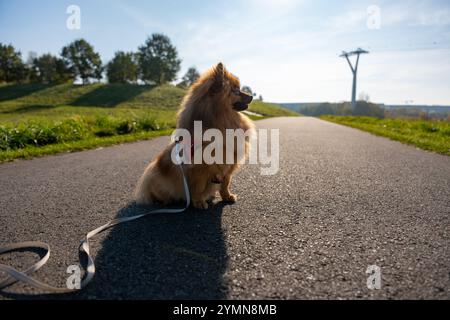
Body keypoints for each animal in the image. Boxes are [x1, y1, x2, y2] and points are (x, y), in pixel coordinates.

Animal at [133, 62, 253, 209]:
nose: (252, 96)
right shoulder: (199, 169)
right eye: (236, 90)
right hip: (156, 176)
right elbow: (199, 187)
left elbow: (225, 184)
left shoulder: (229, 164)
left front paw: (227, 196)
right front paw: (199, 202)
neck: (221, 121)